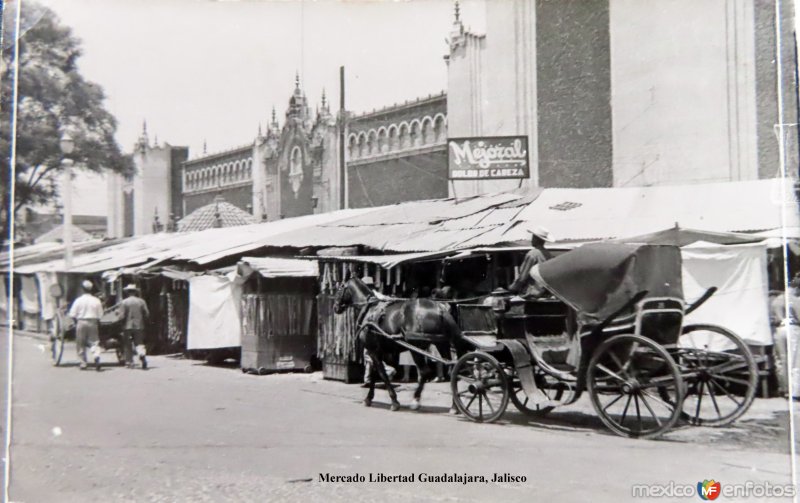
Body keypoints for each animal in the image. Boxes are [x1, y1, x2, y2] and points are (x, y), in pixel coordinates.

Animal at [332, 278, 466, 416]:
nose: (335, 307)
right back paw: (454, 406)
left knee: (425, 372)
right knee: (452, 371)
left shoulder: (373, 350)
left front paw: (393, 401)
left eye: (339, 289)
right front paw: (369, 398)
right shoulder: (378, 351)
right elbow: (375, 374)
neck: (369, 310)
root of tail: (440, 309)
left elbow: (381, 374)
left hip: (416, 347)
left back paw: (415, 400)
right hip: (441, 344)